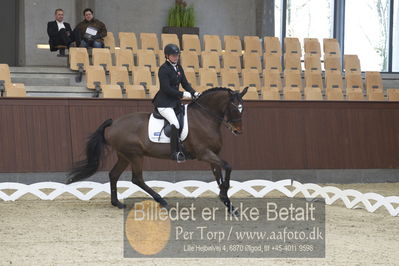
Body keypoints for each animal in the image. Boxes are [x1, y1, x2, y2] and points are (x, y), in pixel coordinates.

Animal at [67, 86, 248, 213]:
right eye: (233, 107)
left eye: (243, 108)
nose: (238, 131)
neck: (204, 118)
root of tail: (113, 123)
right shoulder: (204, 154)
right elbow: (227, 167)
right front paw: (225, 196)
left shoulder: (213, 154)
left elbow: (219, 175)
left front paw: (228, 203)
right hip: (135, 155)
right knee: (137, 179)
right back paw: (161, 201)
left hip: (124, 156)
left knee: (113, 175)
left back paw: (117, 203)